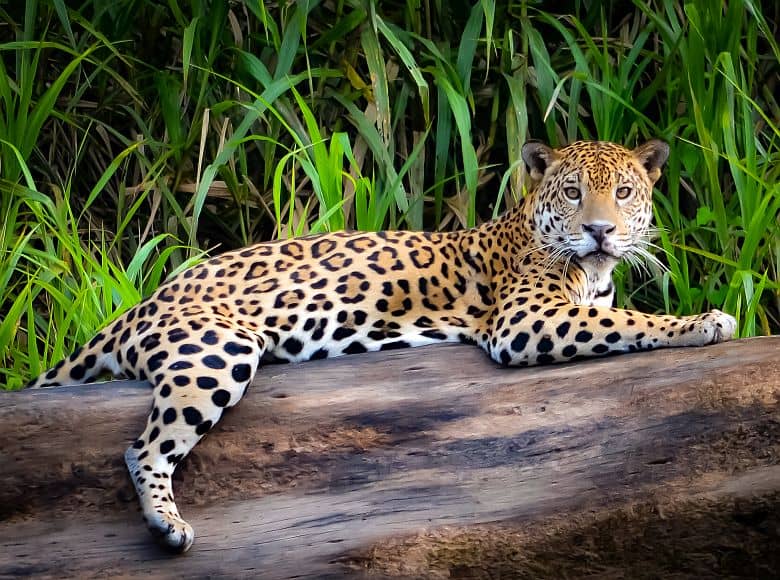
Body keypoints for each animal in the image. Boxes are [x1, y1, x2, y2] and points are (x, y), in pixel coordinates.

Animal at [27, 139, 736, 553]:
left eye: (623, 192)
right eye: (572, 192)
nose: (599, 231)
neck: (589, 271)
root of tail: (145, 300)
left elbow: (619, 315)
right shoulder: (525, 320)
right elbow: (634, 322)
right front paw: (703, 321)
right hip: (216, 349)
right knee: (143, 447)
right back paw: (167, 526)